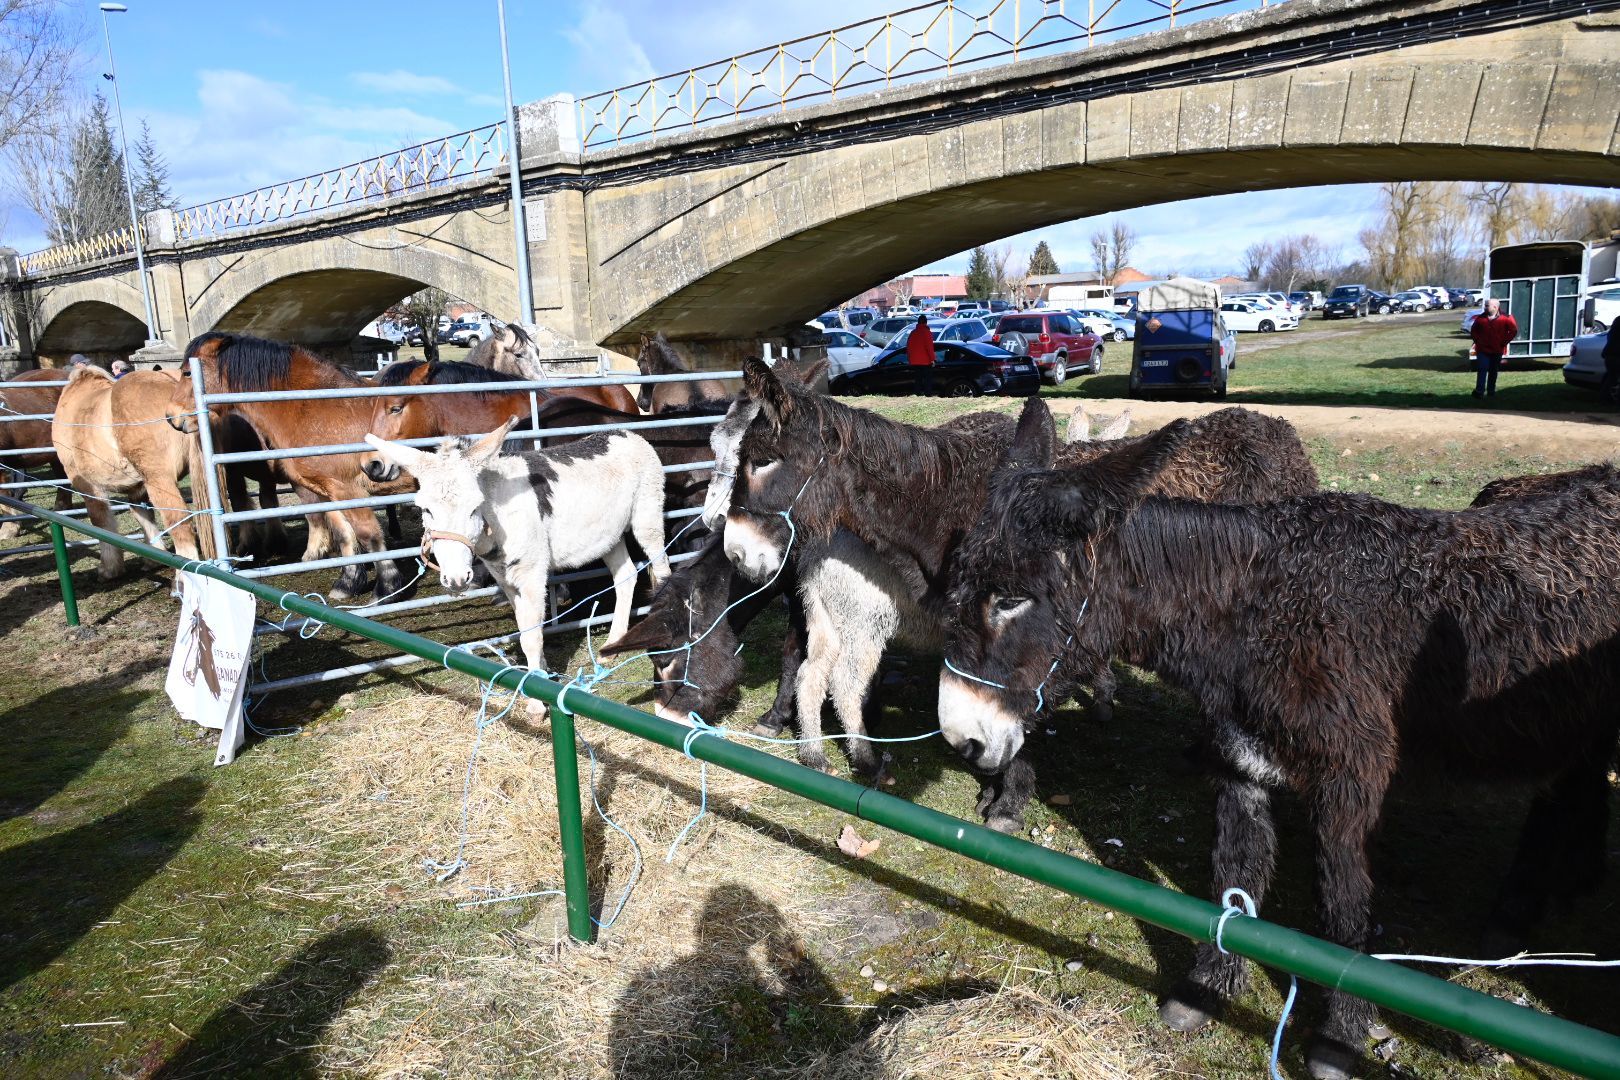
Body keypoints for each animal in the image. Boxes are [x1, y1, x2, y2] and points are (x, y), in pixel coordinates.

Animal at [51, 372, 212, 592]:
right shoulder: (138, 489)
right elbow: (143, 516)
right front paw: (154, 558)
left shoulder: (88, 486)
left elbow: (101, 522)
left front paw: (109, 569)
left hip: (160, 481)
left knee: (180, 524)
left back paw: (182, 581)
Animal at [166, 331, 405, 599]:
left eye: (187, 373)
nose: (171, 417)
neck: (316, 406)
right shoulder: (329, 491)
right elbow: (344, 534)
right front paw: (348, 583)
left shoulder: (348, 490)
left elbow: (368, 535)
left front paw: (388, 588)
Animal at [367, 417, 670, 709]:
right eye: (425, 510)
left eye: (474, 508)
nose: (456, 580)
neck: (497, 515)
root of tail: (627, 433)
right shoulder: (505, 578)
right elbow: (525, 627)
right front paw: (541, 674)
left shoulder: (532, 575)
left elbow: (531, 636)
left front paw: (537, 700)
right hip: (609, 535)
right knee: (626, 576)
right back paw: (613, 645)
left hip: (647, 516)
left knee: (663, 567)